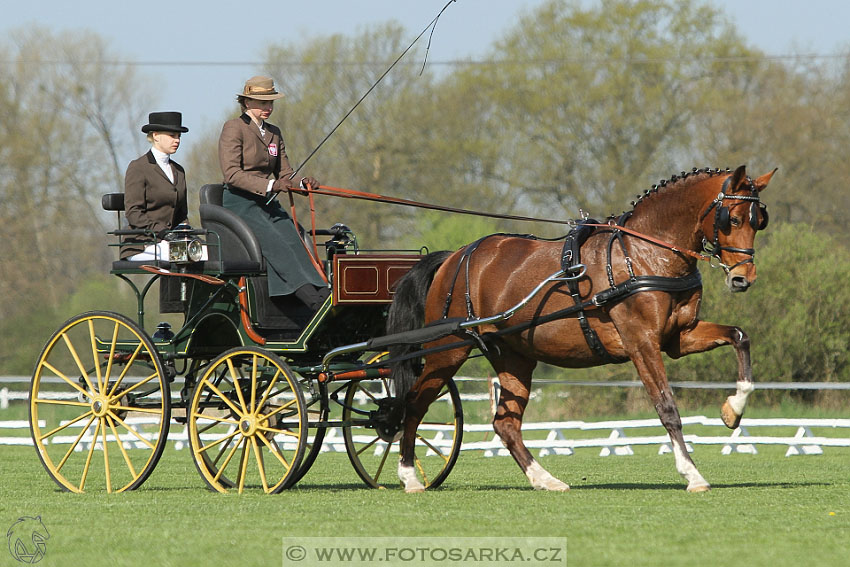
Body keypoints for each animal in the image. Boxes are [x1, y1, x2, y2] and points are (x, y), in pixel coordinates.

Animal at [388, 164, 772, 492]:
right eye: (732, 218)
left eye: (759, 221)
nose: (743, 278)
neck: (645, 252)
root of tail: (455, 256)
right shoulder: (641, 342)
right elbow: (667, 407)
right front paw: (692, 474)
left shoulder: (678, 337)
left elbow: (740, 337)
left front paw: (733, 410)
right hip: (449, 349)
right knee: (414, 403)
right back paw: (409, 476)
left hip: (514, 357)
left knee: (505, 423)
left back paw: (545, 479)